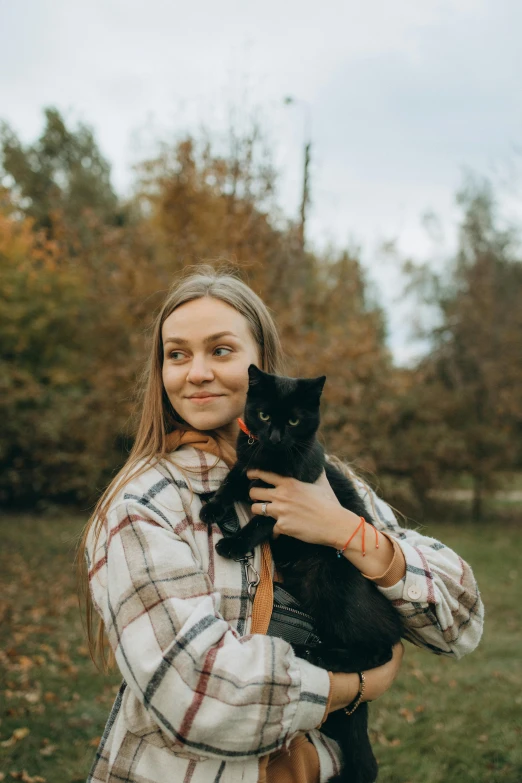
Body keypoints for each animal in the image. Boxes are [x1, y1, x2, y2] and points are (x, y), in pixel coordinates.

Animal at [199, 368, 402, 783]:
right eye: (263, 415)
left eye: (293, 420)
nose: (276, 436)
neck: (270, 459)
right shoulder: (246, 466)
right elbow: (230, 482)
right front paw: (212, 508)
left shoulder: (287, 502)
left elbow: (260, 523)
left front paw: (233, 544)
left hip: (333, 587)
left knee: (379, 651)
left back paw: (320, 655)